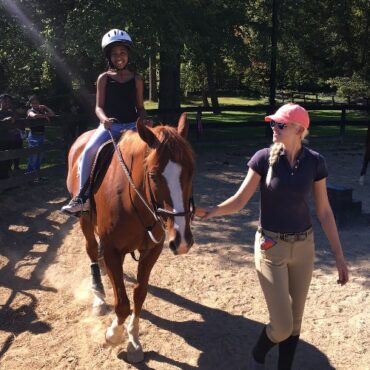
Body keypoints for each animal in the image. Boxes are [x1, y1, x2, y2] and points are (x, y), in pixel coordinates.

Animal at [65, 114, 195, 362]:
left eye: (191, 172)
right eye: (153, 175)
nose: (182, 241)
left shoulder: (151, 251)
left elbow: (139, 295)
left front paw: (134, 340)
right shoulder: (113, 251)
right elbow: (123, 304)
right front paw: (113, 335)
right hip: (85, 220)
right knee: (92, 251)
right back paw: (99, 296)